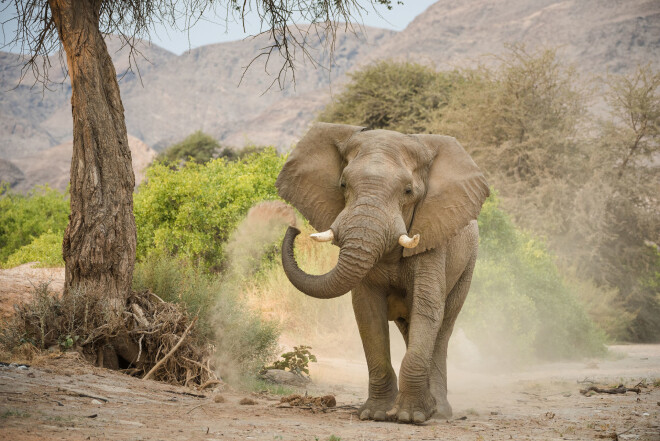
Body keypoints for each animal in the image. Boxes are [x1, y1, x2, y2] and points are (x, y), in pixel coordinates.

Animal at [274, 121, 490, 422]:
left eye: (408, 191)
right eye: (343, 185)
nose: (293, 228)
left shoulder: (434, 238)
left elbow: (427, 307)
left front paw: (411, 417)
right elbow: (368, 312)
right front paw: (375, 414)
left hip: (468, 263)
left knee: (443, 327)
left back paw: (439, 411)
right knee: (410, 327)